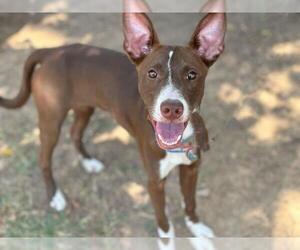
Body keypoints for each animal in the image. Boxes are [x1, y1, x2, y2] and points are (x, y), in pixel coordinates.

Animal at [0, 0, 225, 238]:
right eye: (152, 73)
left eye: (192, 74)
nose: (171, 108)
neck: (177, 144)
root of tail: (54, 51)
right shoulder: (154, 182)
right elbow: (164, 224)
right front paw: (168, 239)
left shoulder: (191, 170)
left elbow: (190, 203)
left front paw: (197, 229)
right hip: (51, 118)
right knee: (44, 157)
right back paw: (55, 196)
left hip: (84, 108)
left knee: (75, 133)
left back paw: (88, 162)